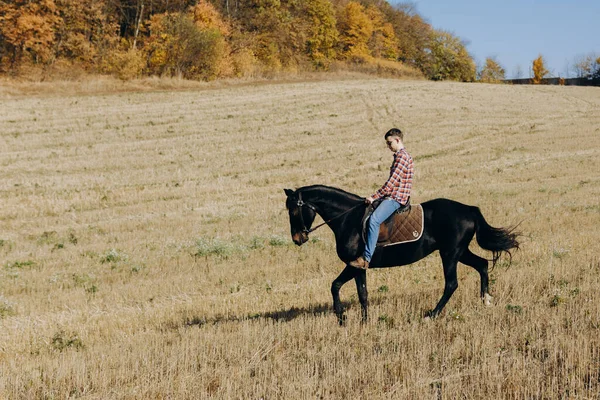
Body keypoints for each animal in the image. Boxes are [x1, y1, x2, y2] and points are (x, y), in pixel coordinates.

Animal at [284, 186, 516, 324]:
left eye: (293, 210)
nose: (297, 239)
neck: (348, 219)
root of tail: (468, 209)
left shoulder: (354, 264)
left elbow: (338, 287)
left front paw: (344, 318)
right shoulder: (359, 266)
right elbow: (359, 292)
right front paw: (360, 320)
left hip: (450, 254)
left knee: (451, 283)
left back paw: (431, 315)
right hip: (460, 251)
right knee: (482, 265)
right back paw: (486, 300)